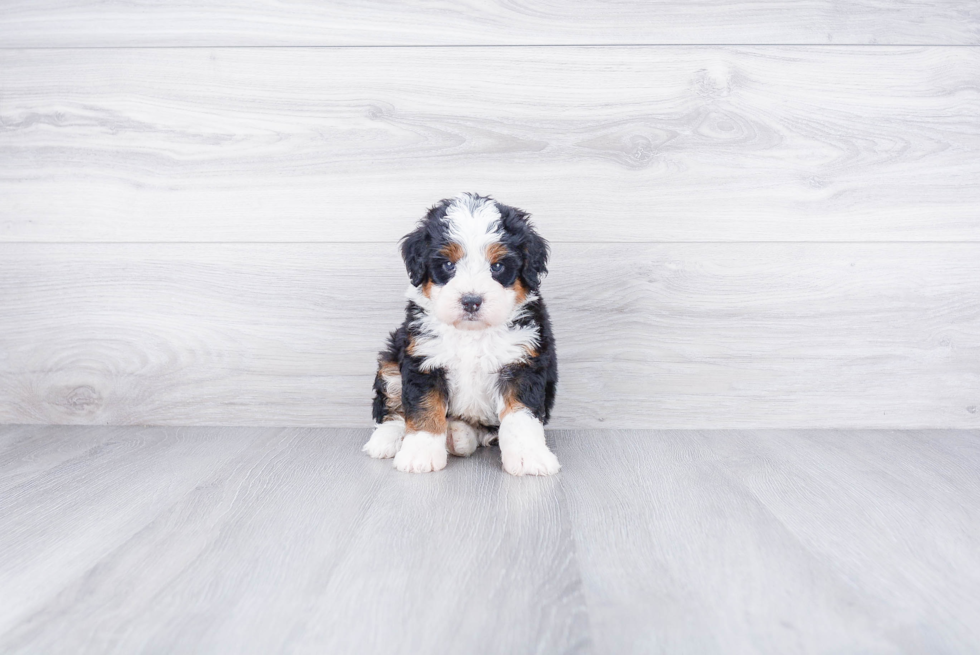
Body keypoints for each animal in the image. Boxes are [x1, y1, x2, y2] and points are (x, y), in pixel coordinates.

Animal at [364, 192, 560, 474]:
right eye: (448, 264)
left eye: (497, 267)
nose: (471, 301)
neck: (471, 334)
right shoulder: (424, 358)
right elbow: (424, 409)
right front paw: (420, 454)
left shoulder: (521, 363)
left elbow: (521, 415)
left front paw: (529, 457)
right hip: (392, 356)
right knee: (392, 407)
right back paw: (385, 441)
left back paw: (458, 435)